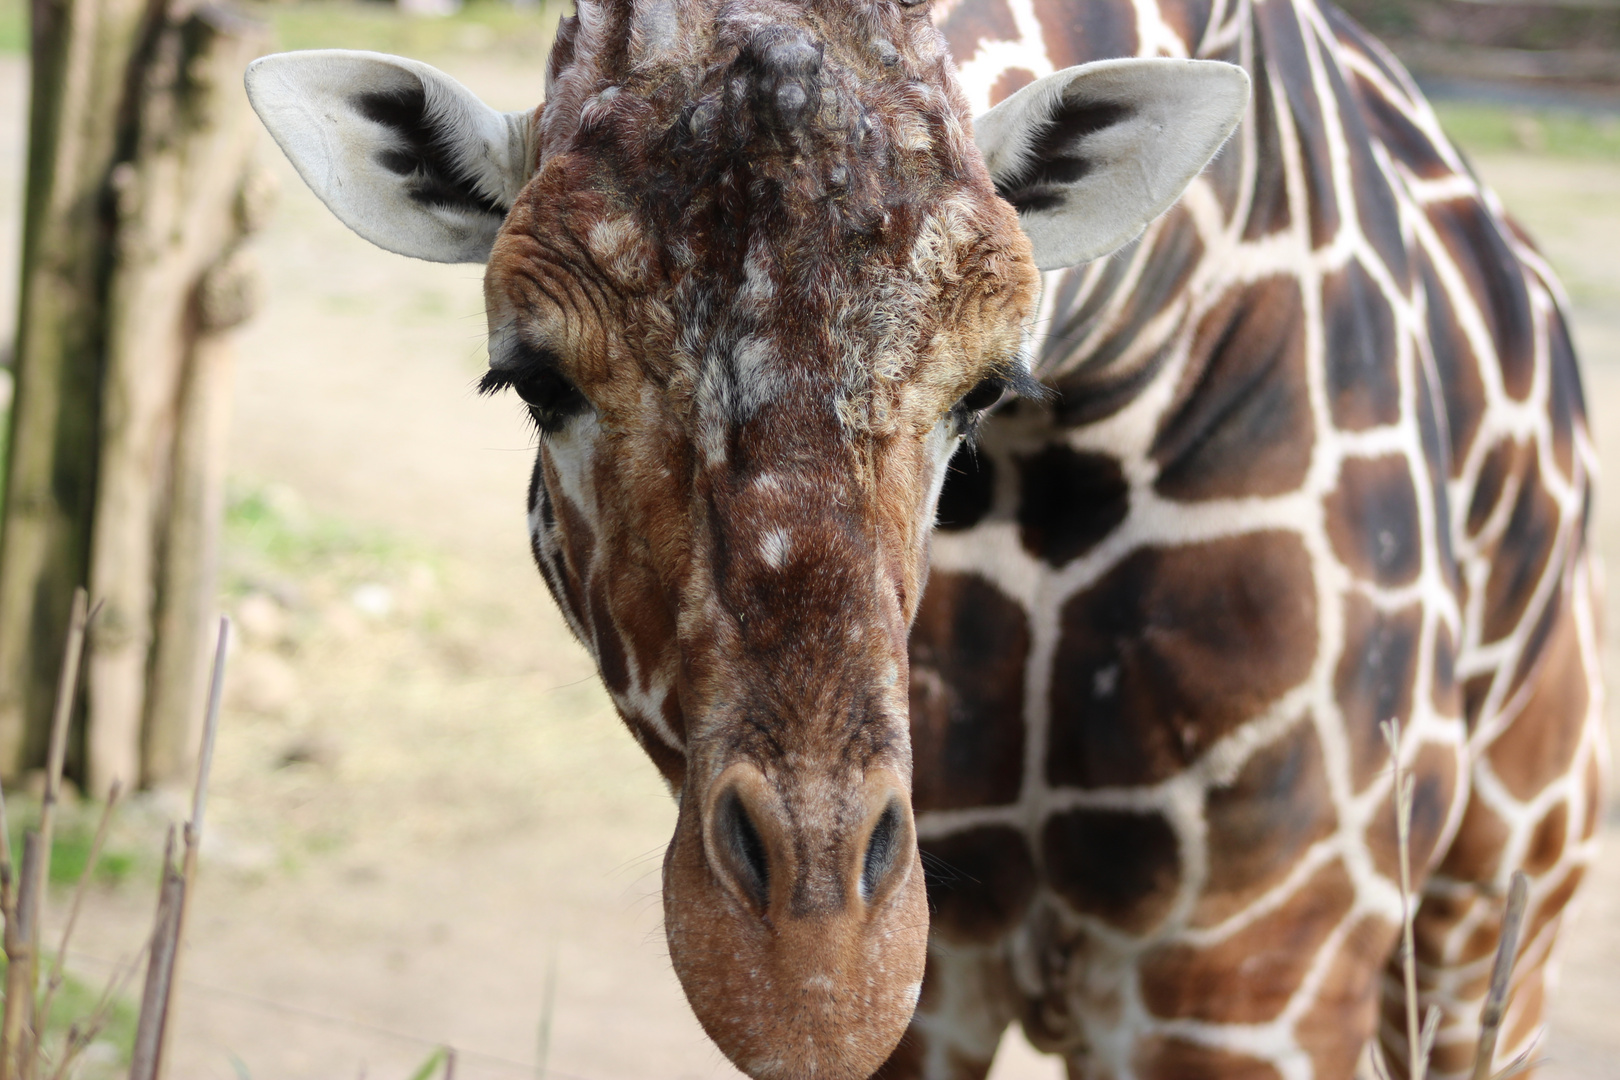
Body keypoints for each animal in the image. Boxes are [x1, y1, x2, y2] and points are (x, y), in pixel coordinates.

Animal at [246, 0, 1600, 1075]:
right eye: (531, 378)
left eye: (989, 384)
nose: (812, 975)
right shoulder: (945, 976)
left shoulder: (1253, 964)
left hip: (1499, 911)